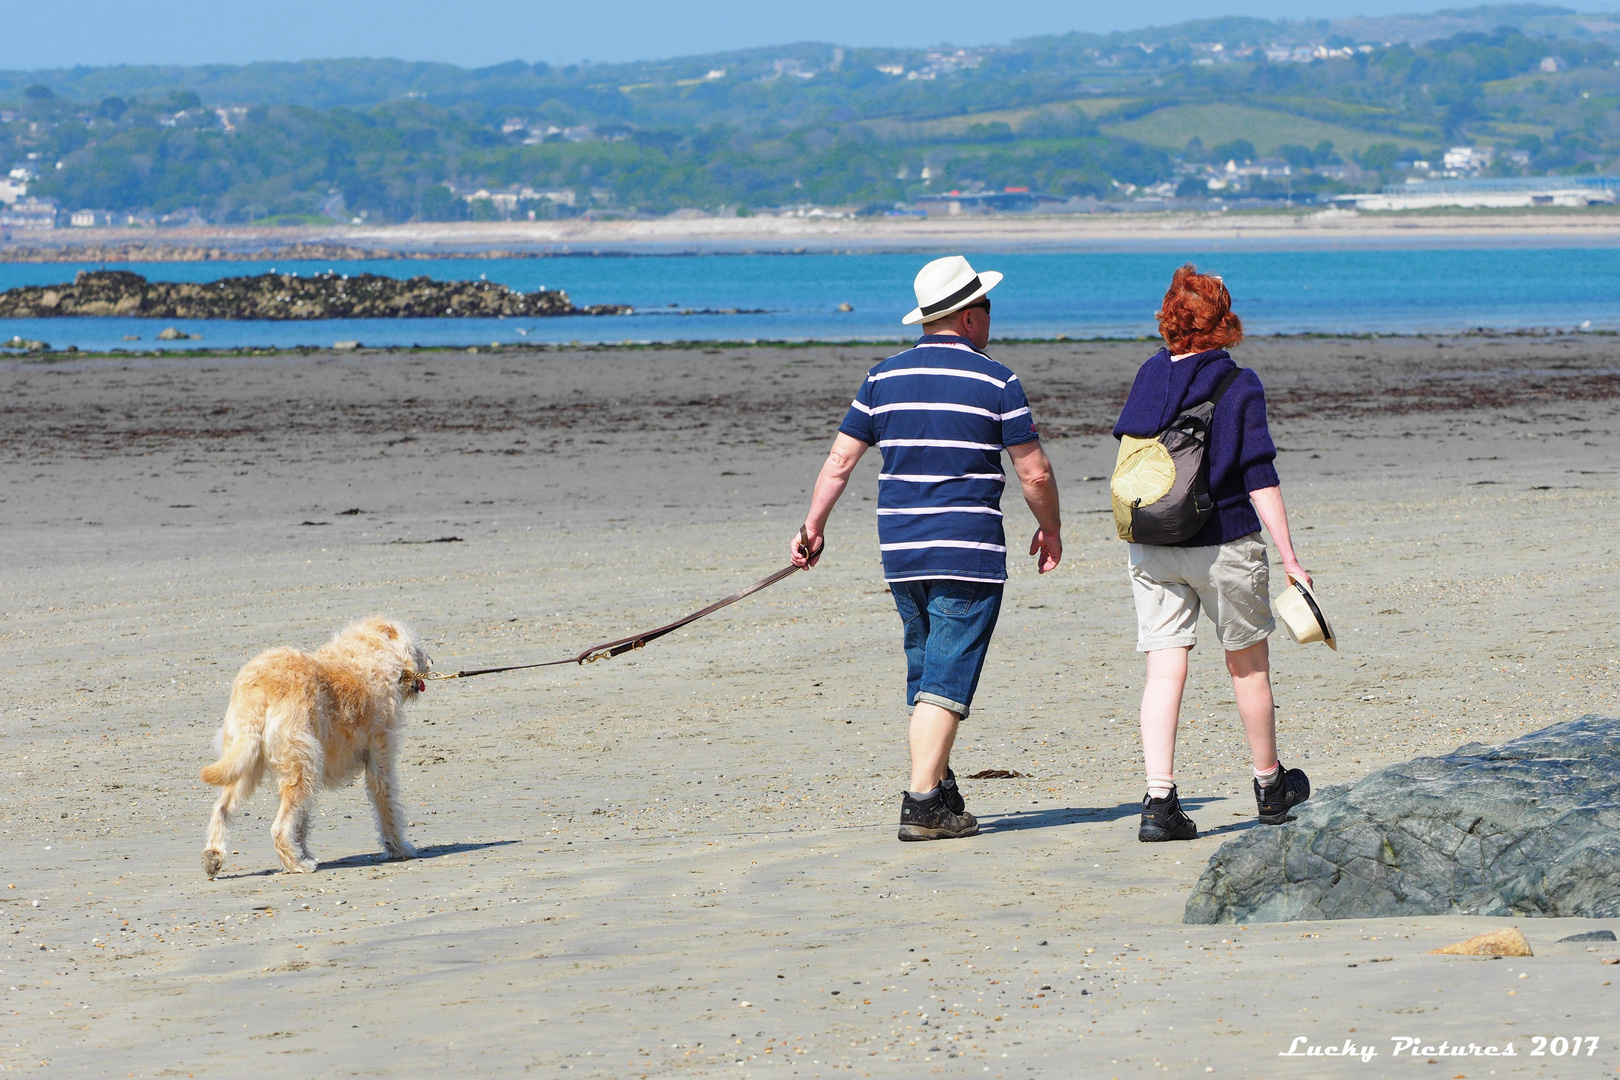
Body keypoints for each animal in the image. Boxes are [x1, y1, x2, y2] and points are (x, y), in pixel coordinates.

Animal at [197, 615, 430, 880]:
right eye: (417, 648)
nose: (430, 662)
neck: (369, 652)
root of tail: (259, 688)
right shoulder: (380, 759)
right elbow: (387, 806)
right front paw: (398, 848)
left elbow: (301, 821)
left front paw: (304, 850)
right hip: (301, 765)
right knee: (278, 827)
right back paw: (296, 865)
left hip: (247, 763)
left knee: (221, 807)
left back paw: (214, 855)